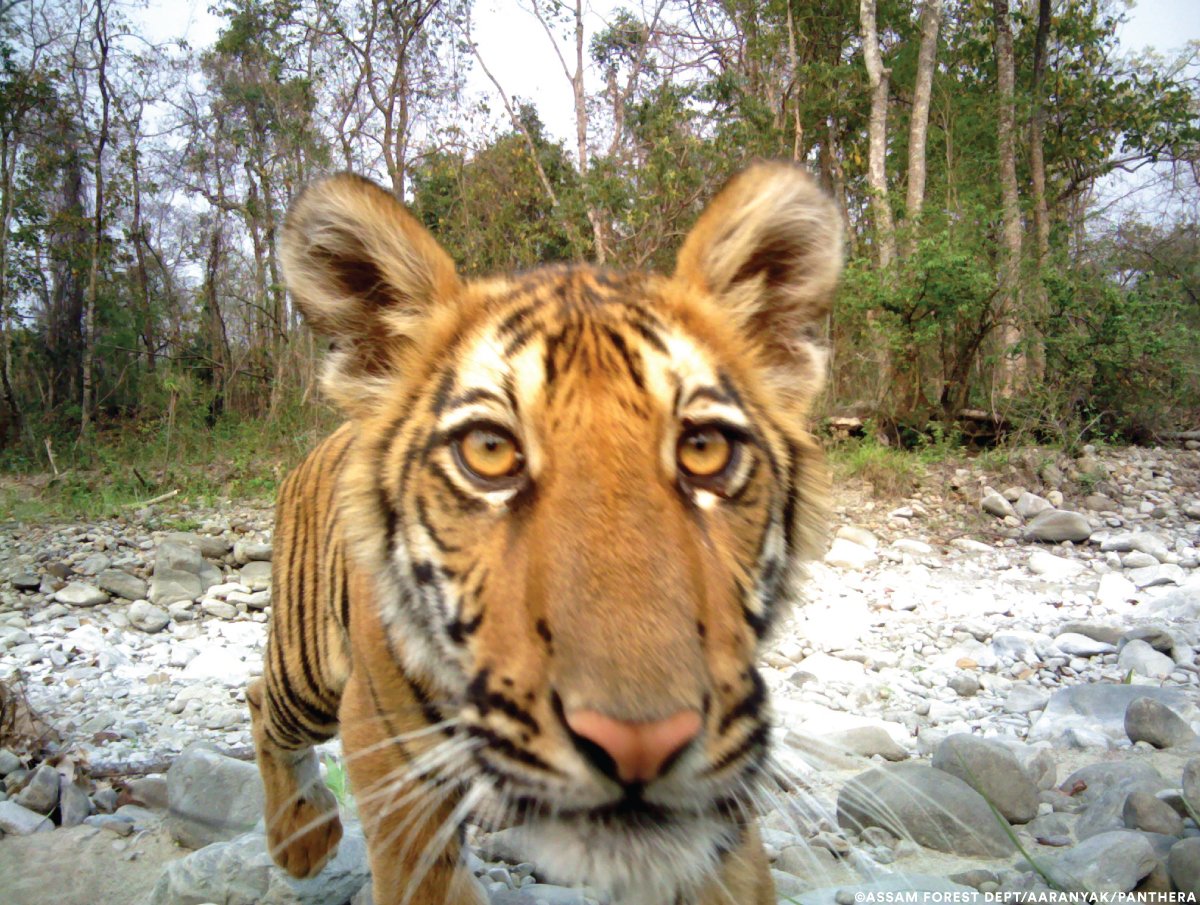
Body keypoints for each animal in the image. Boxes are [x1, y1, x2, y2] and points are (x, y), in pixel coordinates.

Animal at [246, 161, 843, 905]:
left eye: (703, 448)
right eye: (489, 451)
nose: (640, 744)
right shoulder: (392, 761)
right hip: (308, 673)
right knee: (259, 701)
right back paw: (300, 835)